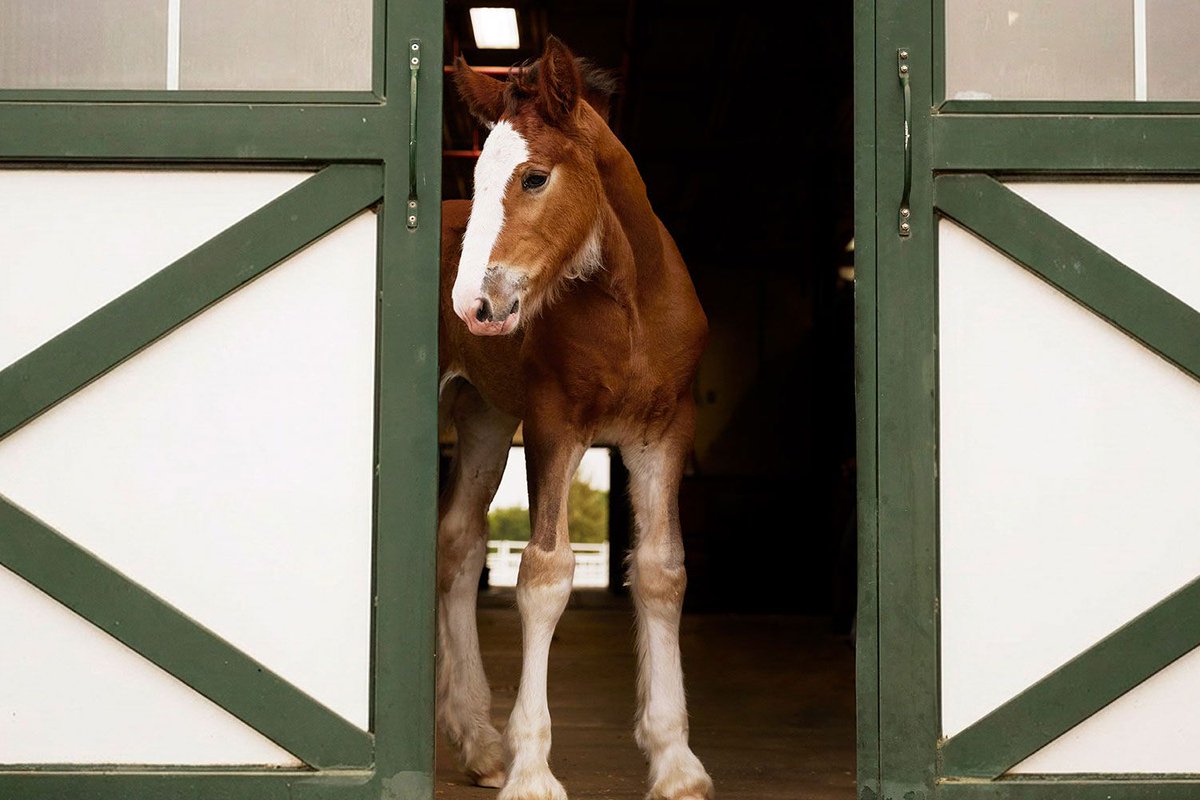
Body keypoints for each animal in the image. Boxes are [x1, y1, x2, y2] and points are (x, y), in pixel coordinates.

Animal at [437, 36, 713, 800]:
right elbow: (544, 573)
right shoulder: (554, 425)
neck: (631, 302)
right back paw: (486, 741)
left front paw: (675, 762)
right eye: (479, 177)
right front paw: (533, 771)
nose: (472, 306)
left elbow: (661, 572)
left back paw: (479, 742)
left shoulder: (663, 433)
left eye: (534, 178)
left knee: (460, 544)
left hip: (484, 416)